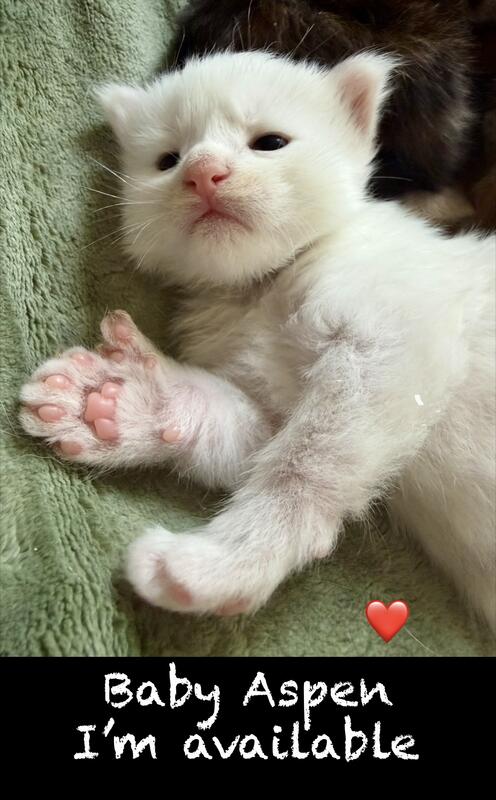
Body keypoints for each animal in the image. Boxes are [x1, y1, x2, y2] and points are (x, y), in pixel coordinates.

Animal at [19, 51, 496, 630]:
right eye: (168, 159)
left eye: (269, 142)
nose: (202, 172)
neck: (260, 290)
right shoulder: (267, 390)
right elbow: (257, 436)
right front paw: (118, 403)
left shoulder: (400, 321)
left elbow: (308, 457)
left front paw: (227, 563)